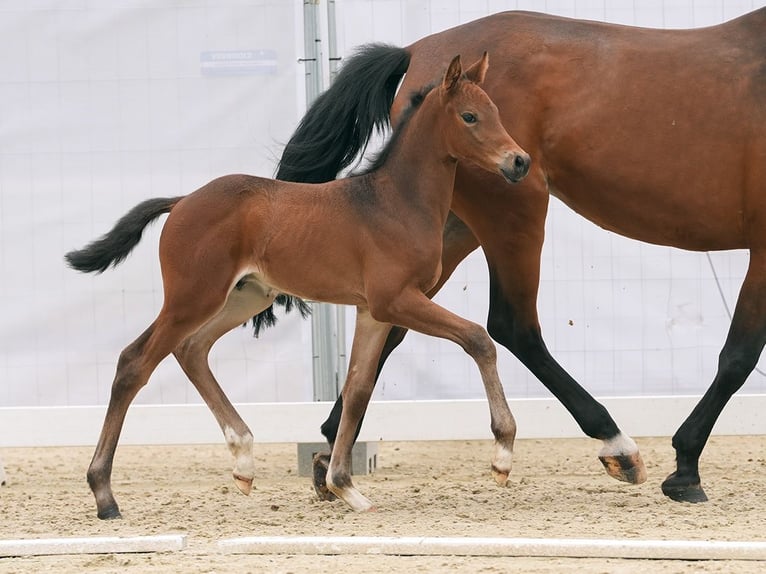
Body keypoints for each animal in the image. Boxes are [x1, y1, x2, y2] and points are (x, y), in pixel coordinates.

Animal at [66, 54, 536, 520]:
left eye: (496, 111)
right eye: (469, 116)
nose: (519, 162)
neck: (395, 203)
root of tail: (181, 202)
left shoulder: (372, 311)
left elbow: (357, 388)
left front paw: (344, 486)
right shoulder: (396, 300)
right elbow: (477, 339)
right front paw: (502, 456)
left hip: (245, 297)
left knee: (192, 349)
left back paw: (243, 461)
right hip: (192, 297)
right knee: (135, 362)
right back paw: (105, 495)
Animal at [278, 7, 766, 504]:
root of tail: (417, 50)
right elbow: (739, 356)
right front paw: (686, 469)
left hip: (449, 229)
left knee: (392, 325)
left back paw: (330, 454)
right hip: (514, 212)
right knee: (512, 325)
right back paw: (615, 444)